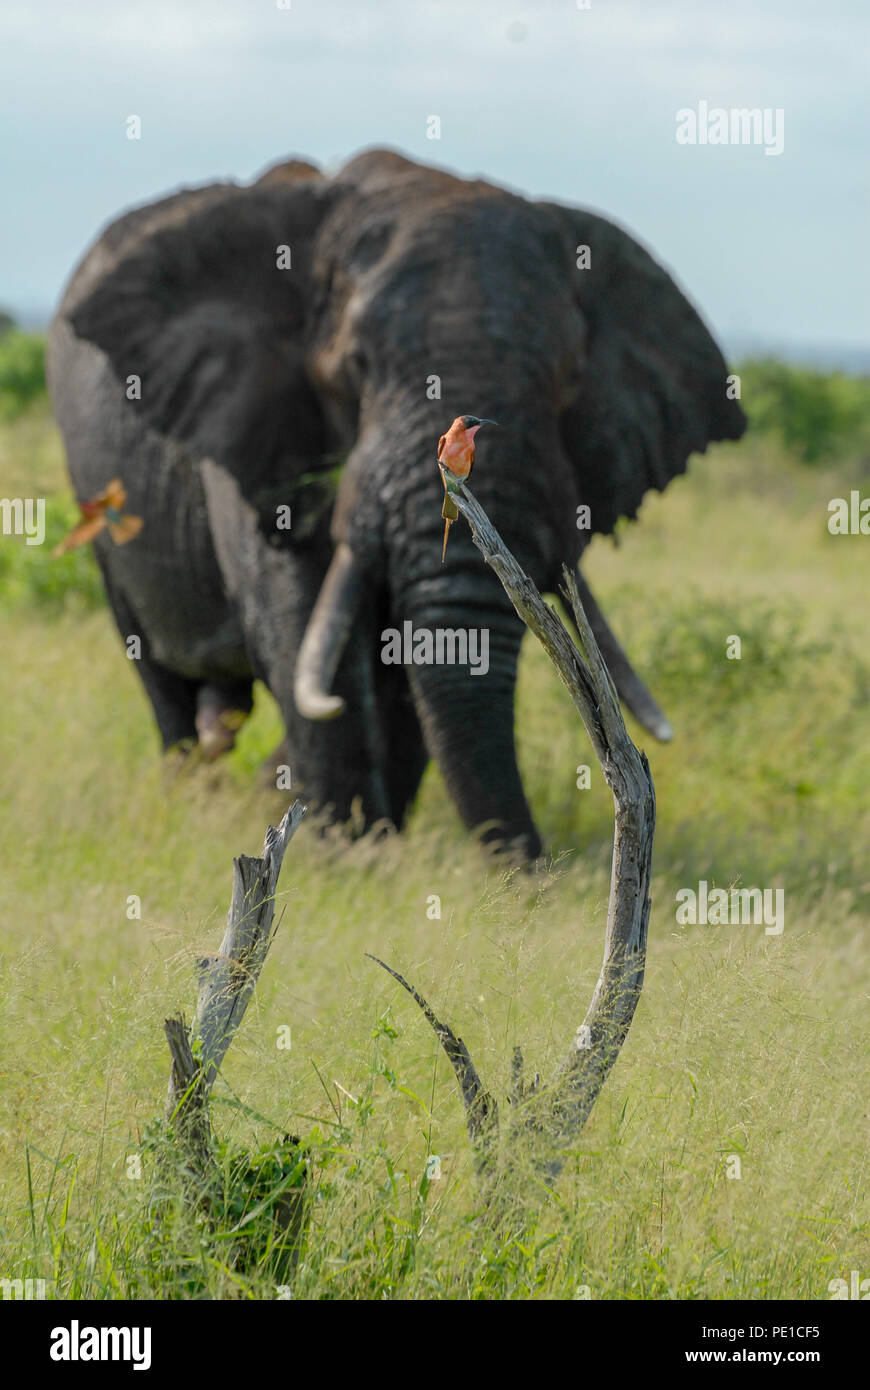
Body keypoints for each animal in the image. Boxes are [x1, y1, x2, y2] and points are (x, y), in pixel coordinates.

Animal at [47, 143, 739, 856]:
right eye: (354, 367)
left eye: (572, 378)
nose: (536, 868)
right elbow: (300, 627)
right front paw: (343, 853)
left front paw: (366, 840)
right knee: (160, 675)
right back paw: (193, 789)